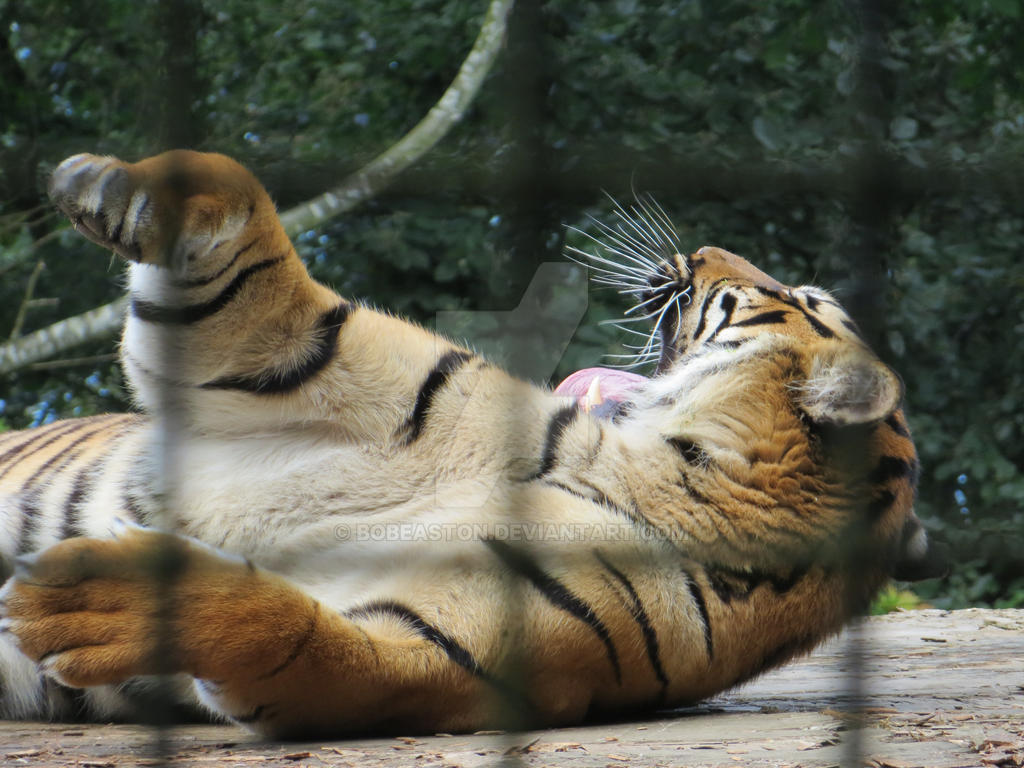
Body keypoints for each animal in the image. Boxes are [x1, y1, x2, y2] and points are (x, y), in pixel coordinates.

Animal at [0, 150, 945, 738]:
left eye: (797, 297)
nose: (704, 245)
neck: (650, 473)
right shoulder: (317, 362)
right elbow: (248, 243)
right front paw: (114, 187)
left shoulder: (424, 657)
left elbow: (293, 635)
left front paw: (87, 597)